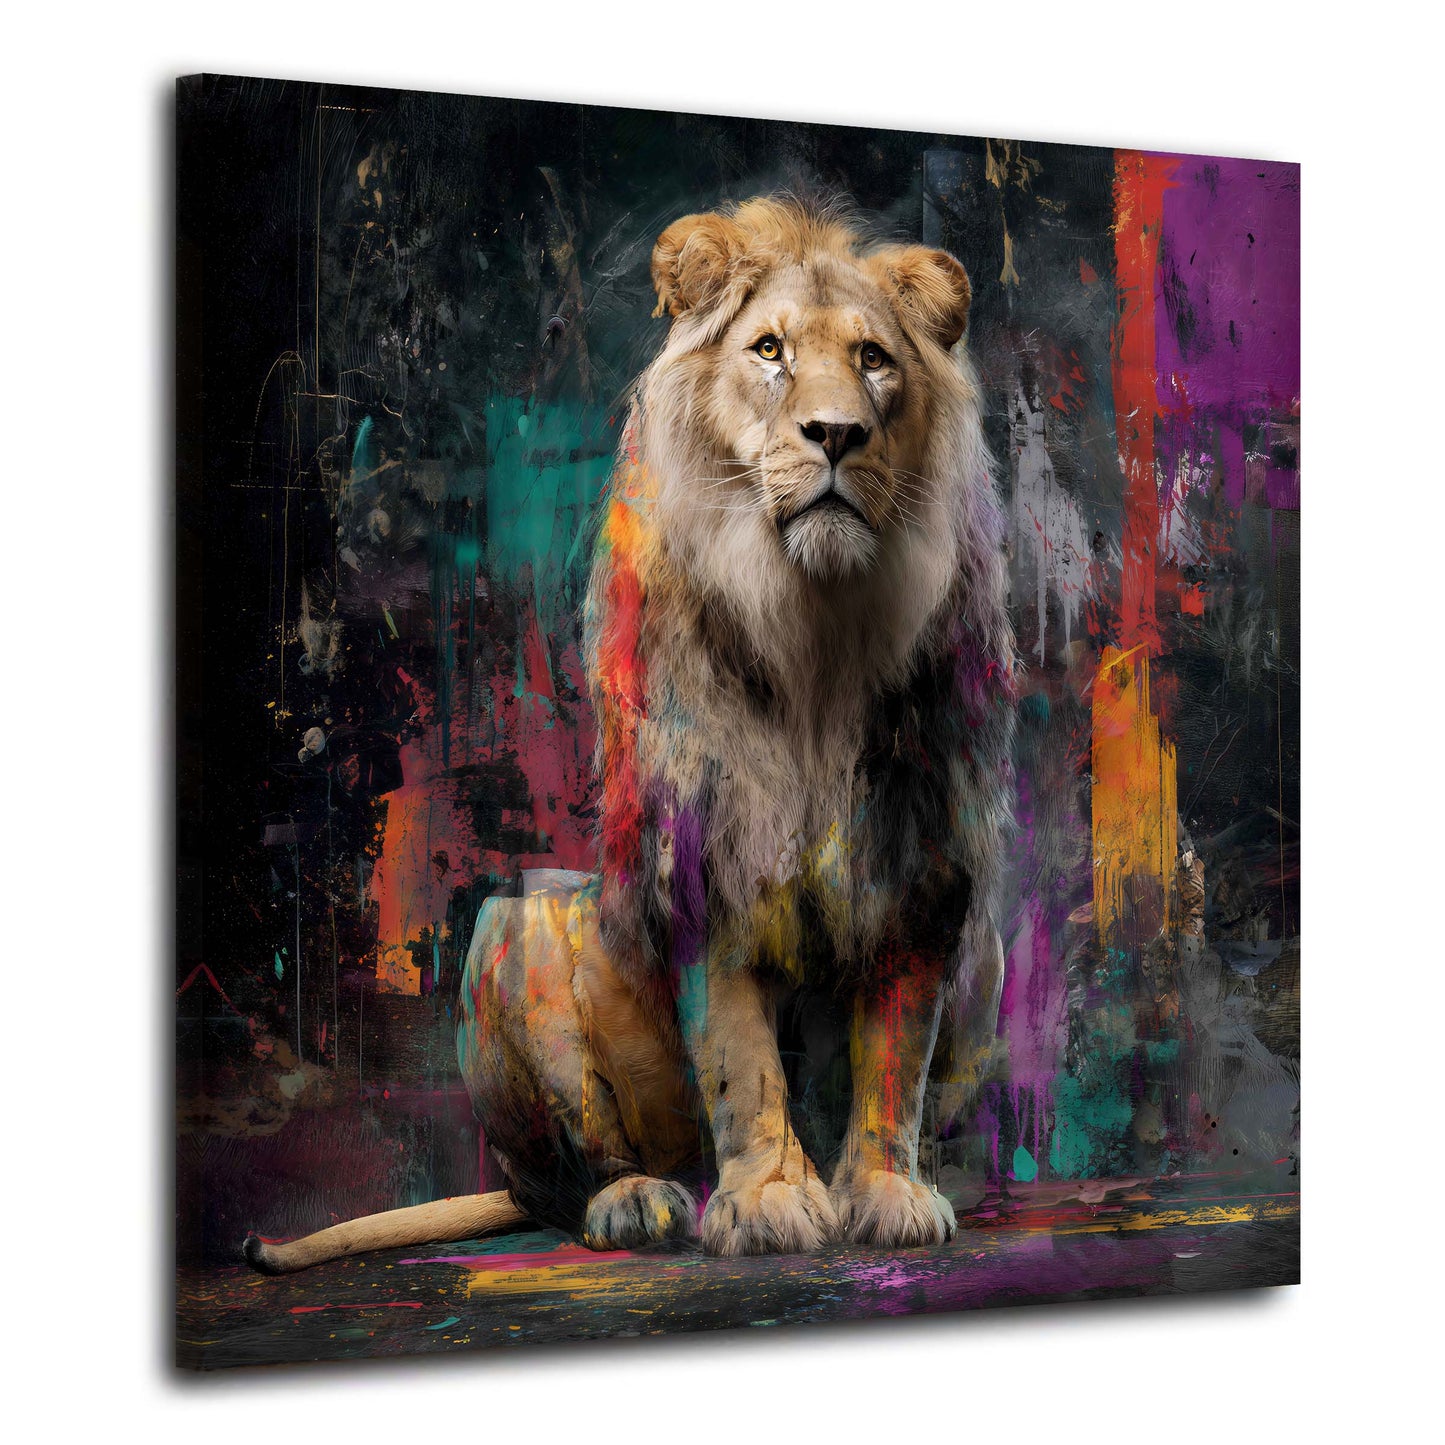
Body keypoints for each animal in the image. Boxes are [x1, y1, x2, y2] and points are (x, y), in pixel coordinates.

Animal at [244, 197, 1016, 1274]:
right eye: (769, 350)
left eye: (873, 359)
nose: (835, 434)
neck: (814, 629)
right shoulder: (701, 854)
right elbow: (740, 1057)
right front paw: (767, 1198)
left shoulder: (926, 862)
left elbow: (894, 1057)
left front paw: (887, 1192)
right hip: (513, 926)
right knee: (565, 1178)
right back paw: (642, 1200)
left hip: (991, 952)